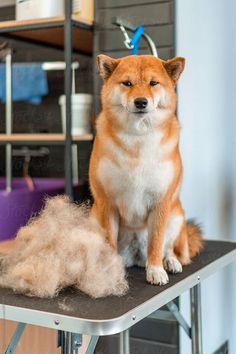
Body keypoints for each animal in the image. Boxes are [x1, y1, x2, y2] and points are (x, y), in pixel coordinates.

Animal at [89, 54, 203, 284]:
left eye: (153, 83)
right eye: (127, 83)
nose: (141, 101)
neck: (137, 139)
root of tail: (135, 256)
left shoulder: (160, 202)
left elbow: (156, 242)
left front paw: (156, 270)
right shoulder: (107, 203)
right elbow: (109, 242)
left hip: (176, 216)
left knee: (169, 248)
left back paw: (170, 262)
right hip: (93, 217)